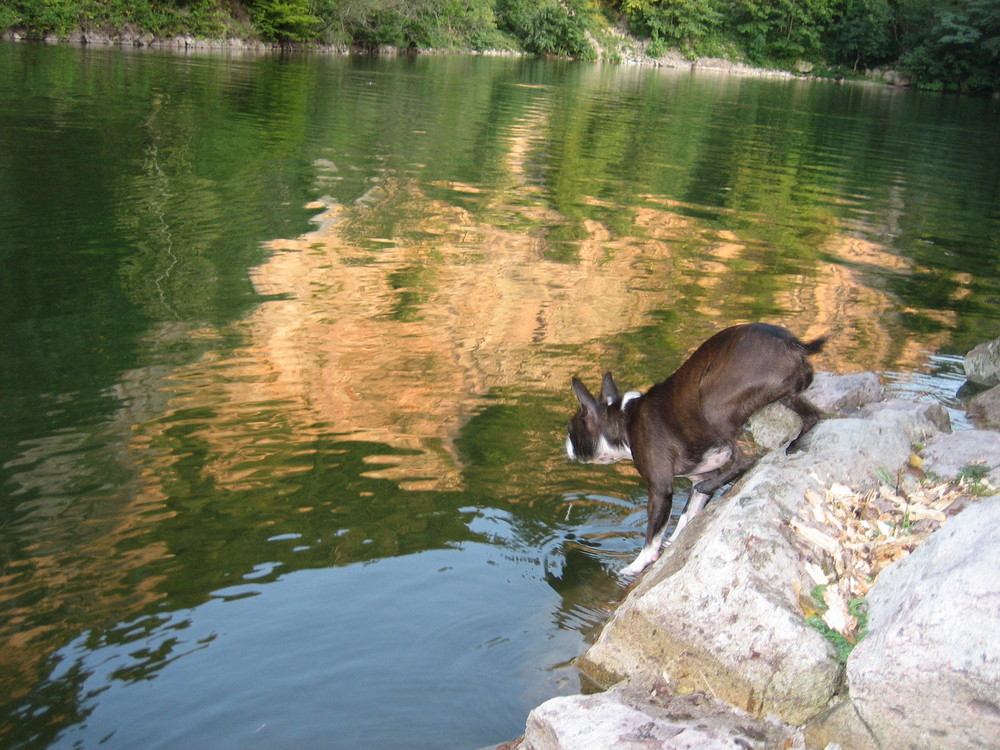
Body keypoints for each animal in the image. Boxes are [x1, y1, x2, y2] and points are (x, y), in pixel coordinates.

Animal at [568, 322, 824, 576]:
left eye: (571, 432)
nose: (567, 447)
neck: (624, 420)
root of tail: (790, 343)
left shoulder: (660, 489)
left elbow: (652, 536)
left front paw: (636, 565)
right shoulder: (702, 472)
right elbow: (687, 514)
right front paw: (675, 539)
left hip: (713, 405)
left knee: (747, 457)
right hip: (786, 397)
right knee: (813, 416)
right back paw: (795, 443)